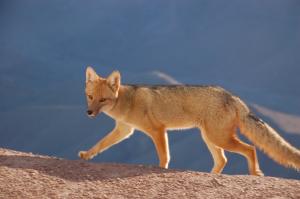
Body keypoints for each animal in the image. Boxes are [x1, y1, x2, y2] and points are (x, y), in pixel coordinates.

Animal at [78, 66, 300, 176]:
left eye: (102, 100)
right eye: (90, 97)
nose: (88, 112)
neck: (127, 101)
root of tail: (232, 96)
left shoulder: (158, 130)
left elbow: (164, 156)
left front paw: (162, 169)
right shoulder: (124, 130)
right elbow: (100, 144)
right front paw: (87, 155)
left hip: (218, 138)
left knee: (250, 149)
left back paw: (254, 173)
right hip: (210, 138)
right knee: (223, 160)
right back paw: (212, 175)